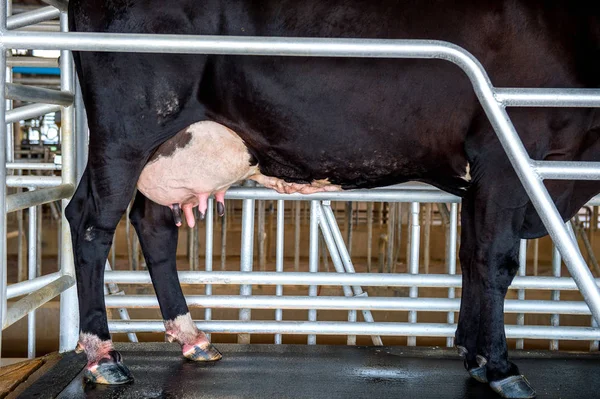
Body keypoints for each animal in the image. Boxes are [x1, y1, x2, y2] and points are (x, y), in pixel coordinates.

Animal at [67, 1, 600, 398]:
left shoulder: (481, 178)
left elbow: (471, 257)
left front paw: (473, 354)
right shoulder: (506, 154)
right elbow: (496, 262)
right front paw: (502, 367)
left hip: (170, 148)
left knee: (152, 223)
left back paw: (191, 337)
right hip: (125, 133)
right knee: (91, 221)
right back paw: (102, 355)